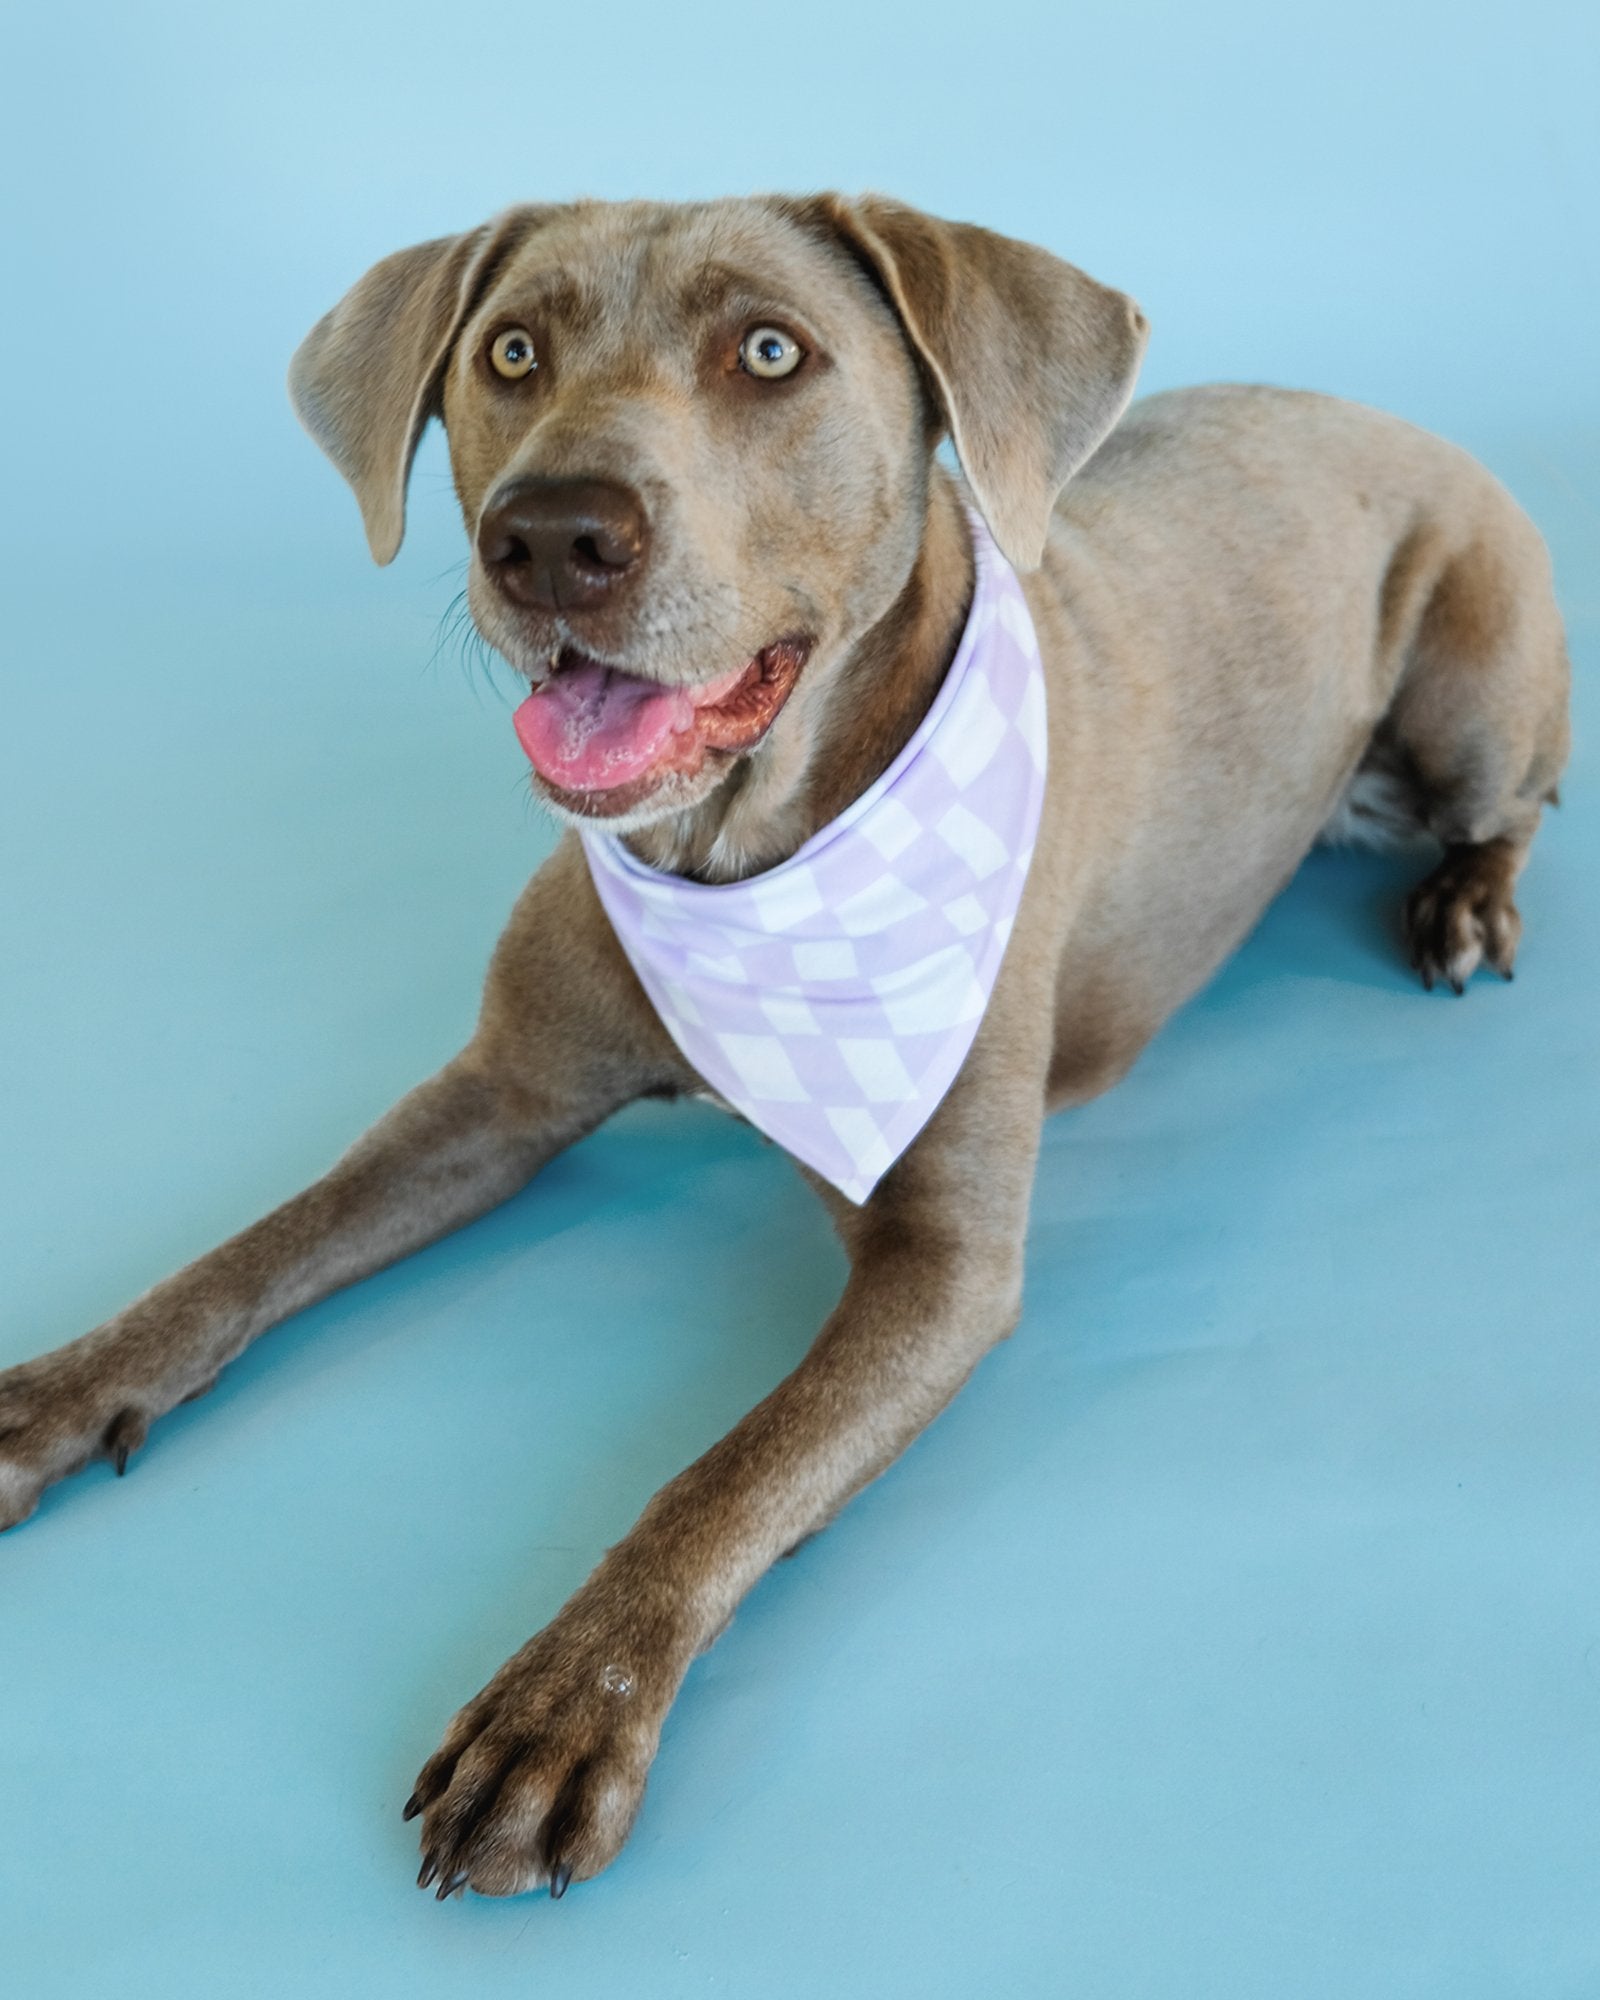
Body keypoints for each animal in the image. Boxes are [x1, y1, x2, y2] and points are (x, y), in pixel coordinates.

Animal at [0, 195, 1576, 1896]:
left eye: (770, 351)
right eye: (511, 351)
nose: (553, 535)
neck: (736, 858)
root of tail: (1379, 411)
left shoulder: (944, 1267)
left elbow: (733, 1471)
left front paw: (567, 1702)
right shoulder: (496, 1093)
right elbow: (255, 1251)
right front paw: (66, 1386)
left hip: (1474, 687)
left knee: (1516, 800)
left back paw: (1465, 906)